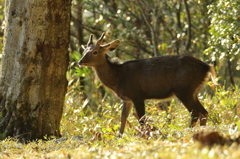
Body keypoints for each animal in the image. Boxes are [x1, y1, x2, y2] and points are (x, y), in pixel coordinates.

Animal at [79, 32, 218, 135]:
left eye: (95, 51)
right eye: (84, 51)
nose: (80, 62)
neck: (119, 78)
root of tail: (207, 67)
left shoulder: (137, 95)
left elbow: (142, 120)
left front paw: (144, 136)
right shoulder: (127, 99)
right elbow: (123, 118)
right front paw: (120, 137)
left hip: (184, 89)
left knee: (195, 113)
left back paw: (188, 131)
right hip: (194, 90)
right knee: (204, 112)